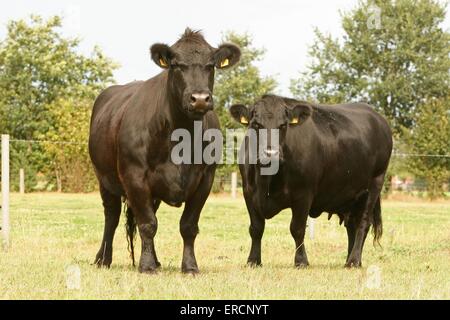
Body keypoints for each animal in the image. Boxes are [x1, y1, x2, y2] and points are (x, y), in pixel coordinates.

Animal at [89, 30, 241, 274]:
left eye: (211, 65)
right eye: (176, 64)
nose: (200, 99)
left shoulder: (205, 178)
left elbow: (188, 225)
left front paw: (189, 266)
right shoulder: (134, 176)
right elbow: (147, 224)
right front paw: (147, 267)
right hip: (104, 178)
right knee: (111, 216)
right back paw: (103, 259)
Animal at [230, 94, 392, 268]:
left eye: (283, 125)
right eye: (256, 124)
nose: (270, 153)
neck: (266, 181)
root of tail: (377, 116)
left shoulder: (303, 194)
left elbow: (297, 228)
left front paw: (301, 261)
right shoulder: (248, 193)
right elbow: (256, 228)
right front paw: (253, 260)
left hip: (375, 184)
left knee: (363, 223)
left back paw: (353, 261)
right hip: (351, 195)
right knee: (352, 225)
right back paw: (350, 259)